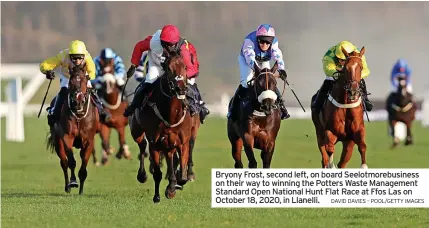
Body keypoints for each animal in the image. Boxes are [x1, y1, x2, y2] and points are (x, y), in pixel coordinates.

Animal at [45, 63, 98, 194]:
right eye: (71, 81)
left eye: (85, 80)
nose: (78, 102)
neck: (79, 116)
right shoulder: (66, 137)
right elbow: (71, 161)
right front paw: (73, 182)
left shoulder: (89, 140)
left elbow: (84, 161)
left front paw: (81, 189)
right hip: (57, 141)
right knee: (63, 162)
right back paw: (67, 187)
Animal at [128, 53, 191, 203]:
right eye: (169, 68)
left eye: (185, 67)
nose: (180, 88)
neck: (171, 115)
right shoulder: (154, 143)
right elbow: (157, 173)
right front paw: (157, 196)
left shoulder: (183, 142)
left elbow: (183, 177)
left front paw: (172, 187)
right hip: (136, 131)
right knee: (142, 144)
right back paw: (142, 175)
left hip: (168, 143)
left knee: (169, 155)